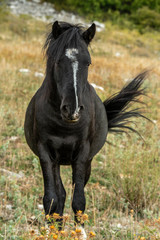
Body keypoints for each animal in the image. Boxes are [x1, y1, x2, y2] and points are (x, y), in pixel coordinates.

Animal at [24, 21, 148, 237]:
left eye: (88, 63)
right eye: (58, 61)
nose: (72, 110)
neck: (64, 125)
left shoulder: (82, 154)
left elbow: (79, 200)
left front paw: (79, 233)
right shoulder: (45, 154)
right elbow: (51, 199)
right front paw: (50, 233)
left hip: (86, 162)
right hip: (57, 161)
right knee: (60, 195)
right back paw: (58, 230)